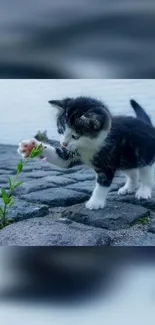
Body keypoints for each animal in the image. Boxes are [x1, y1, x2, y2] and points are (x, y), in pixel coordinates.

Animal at [17, 96, 154, 210]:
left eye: (75, 136)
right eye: (61, 130)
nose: (63, 144)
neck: (89, 146)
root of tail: (147, 125)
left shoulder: (108, 161)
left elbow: (103, 183)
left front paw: (95, 202)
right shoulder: (72, 153)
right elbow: (61, 160)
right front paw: (31, 146)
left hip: (144, 154)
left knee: (145, 173)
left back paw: (144, 191)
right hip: (126, 159)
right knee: (132, 172)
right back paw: (129, 188)